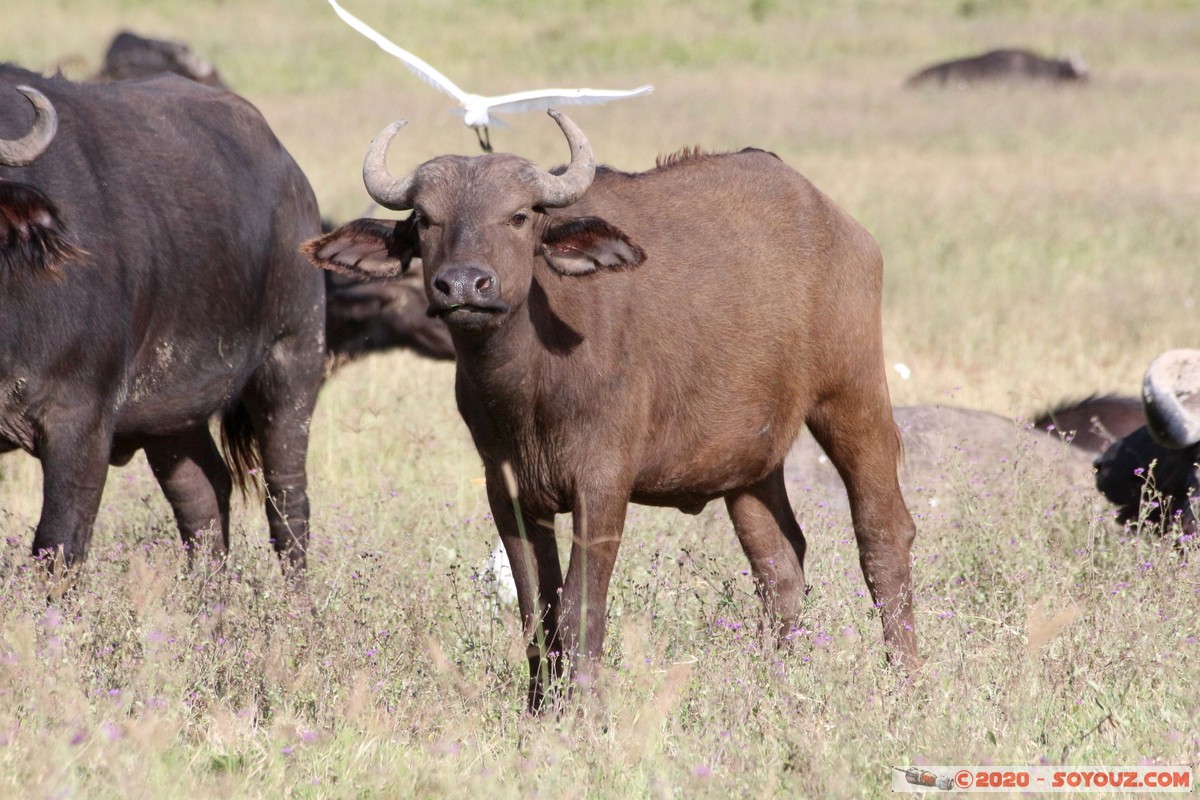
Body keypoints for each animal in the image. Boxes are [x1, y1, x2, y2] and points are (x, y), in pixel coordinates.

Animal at [0, 67, 326, 568]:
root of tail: (295, 179)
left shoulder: (81, 423)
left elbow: (58, 545)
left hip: (294, 362)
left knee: (287, 500)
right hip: (172, 416)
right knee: (204, 496)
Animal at [307, 109, 916, 710]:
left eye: (519, 216)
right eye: (425, 219)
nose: (463, 285)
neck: (530, 386)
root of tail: (844, 228)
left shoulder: (601, 485)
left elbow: (581, 609)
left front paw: (584, 712)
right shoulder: (507, 491)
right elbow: (536, 612)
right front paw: (539, 709)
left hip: (852, 397)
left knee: (883, 535)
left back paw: (904, 681)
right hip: (750, 463)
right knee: (780, 565)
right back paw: (772, 686)